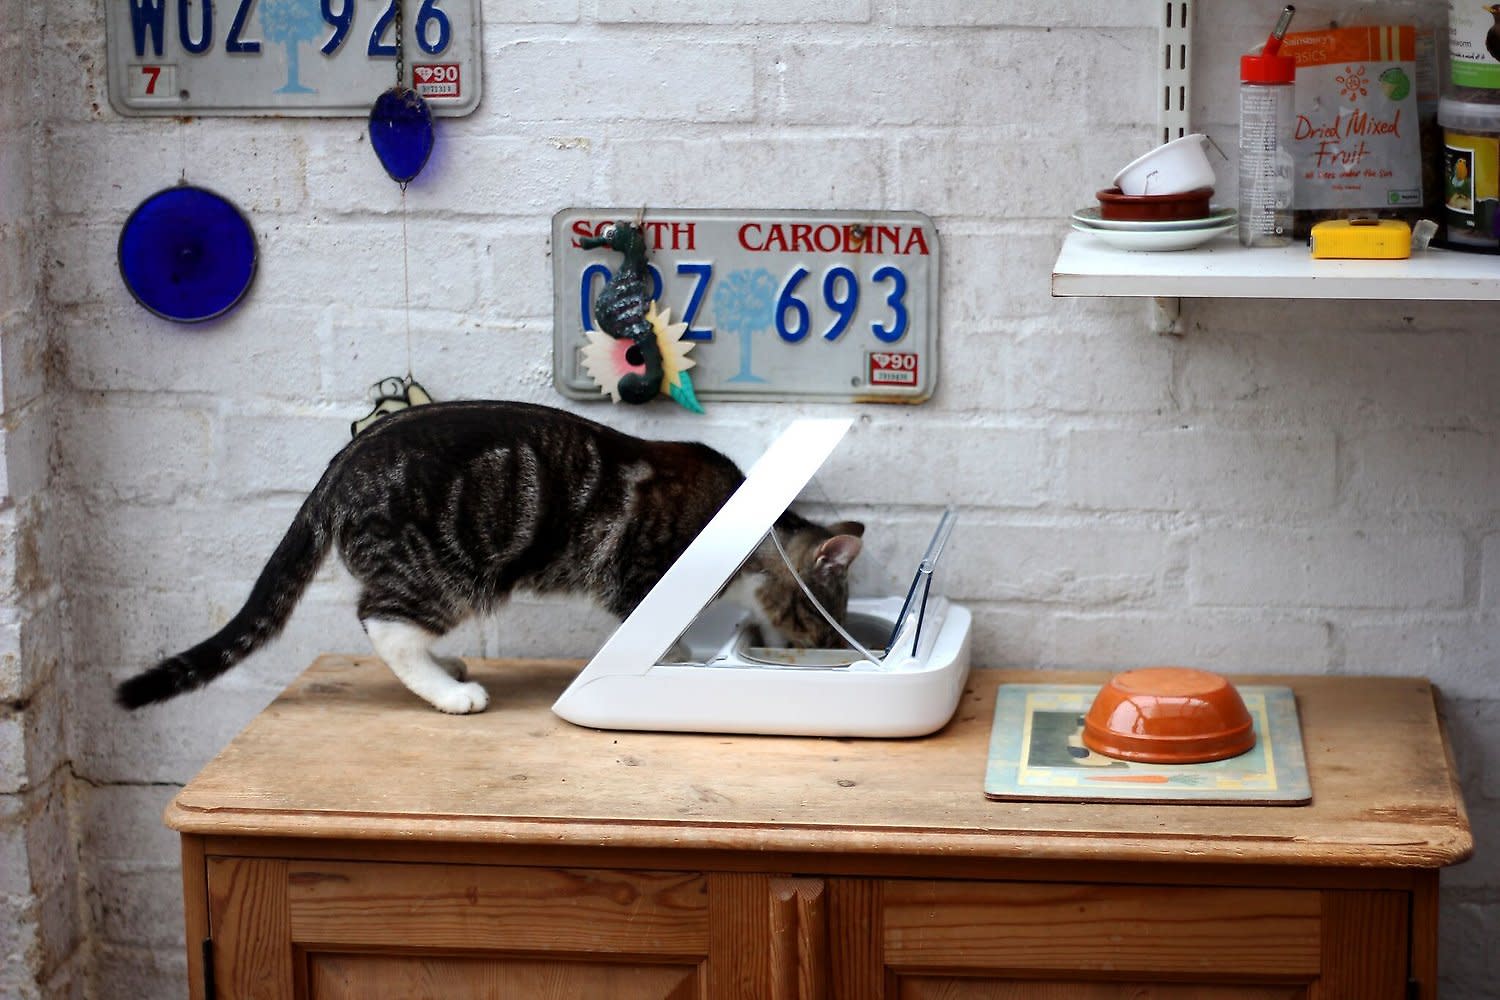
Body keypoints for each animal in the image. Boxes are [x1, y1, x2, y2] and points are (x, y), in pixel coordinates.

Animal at [114, 398, 870, 710]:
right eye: (819, 622)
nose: (823, 653)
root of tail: (339, 469)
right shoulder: (635, 575)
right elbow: (655, 629)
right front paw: (676, 656)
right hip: (442, 573)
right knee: (383, 624)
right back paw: (449, 692)